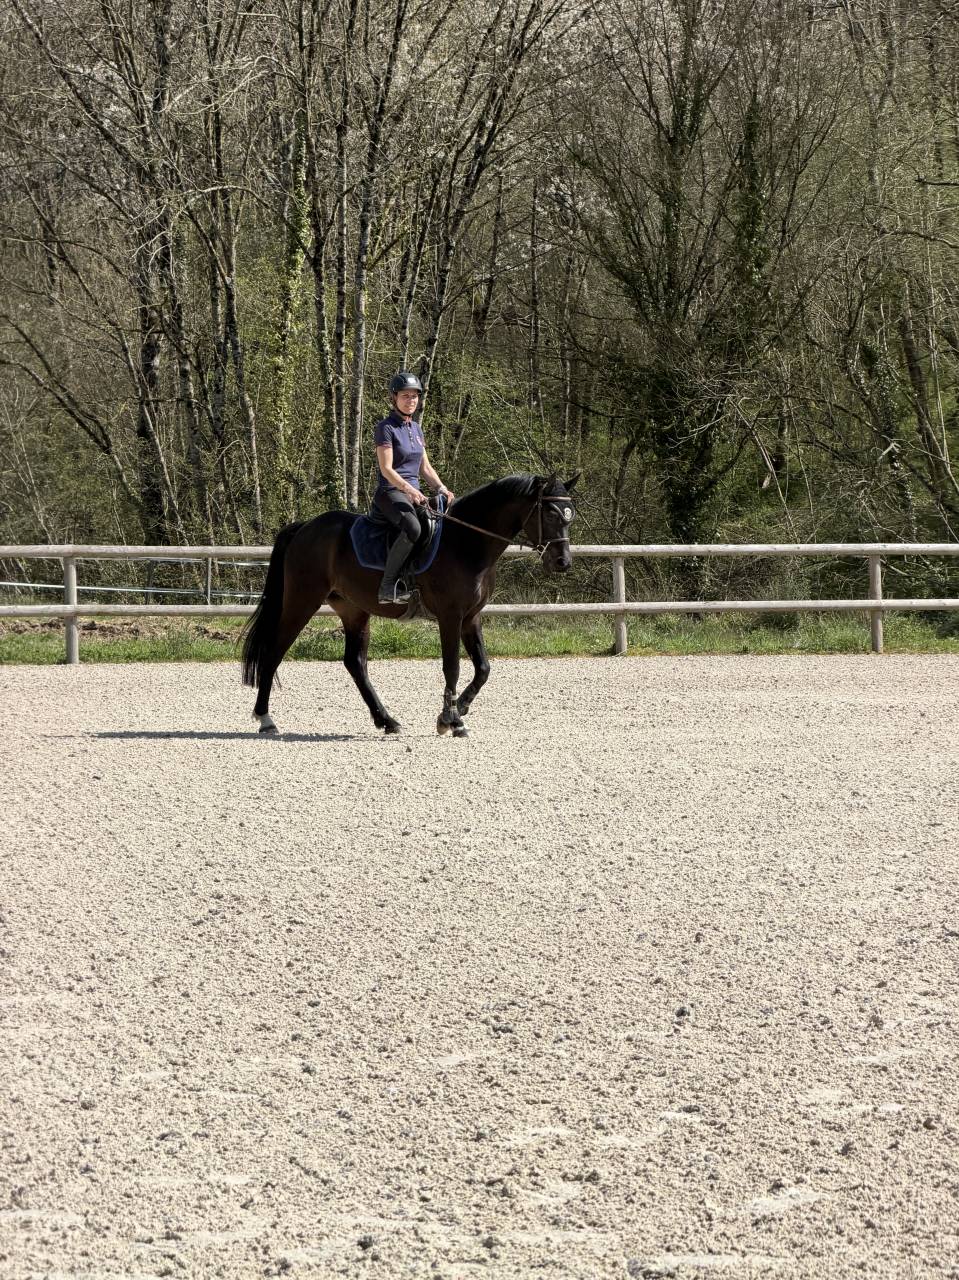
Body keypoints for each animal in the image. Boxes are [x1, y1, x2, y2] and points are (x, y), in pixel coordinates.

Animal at [241, 472, 579, 738]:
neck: (467, 543)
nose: (562, 562)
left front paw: (460, 709)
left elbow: (483, 668)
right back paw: (265, 719)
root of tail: (306, 527)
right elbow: (452, 667)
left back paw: (387, 721)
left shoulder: (471, 617)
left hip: (354, 610)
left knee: (355, 663)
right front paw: (451, 721)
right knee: (274, 652)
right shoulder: (450, 616)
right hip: (302, 601)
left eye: (569, 513)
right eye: (550, 514)